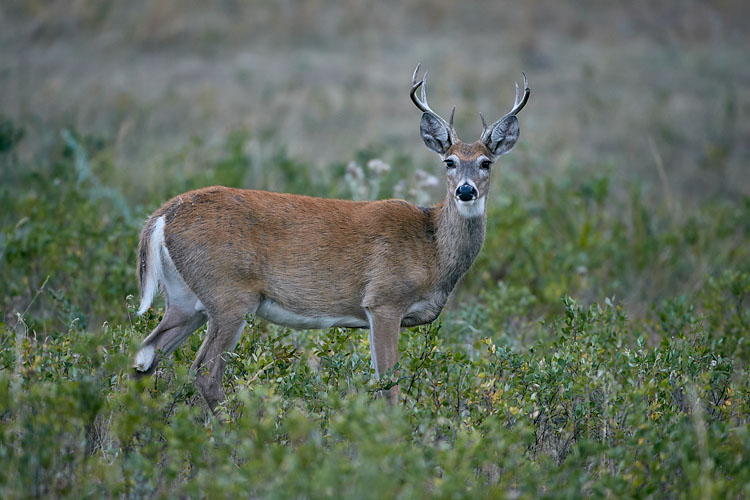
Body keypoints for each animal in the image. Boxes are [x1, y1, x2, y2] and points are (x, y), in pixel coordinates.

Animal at [133, 64, 530, 412]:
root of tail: (162, 215)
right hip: (229, 295)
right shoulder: (383, 301)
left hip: (185, 301)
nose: (466, 190)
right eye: (449, 161)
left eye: (486, 162)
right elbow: (389, 387)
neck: (431, 246)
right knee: (203, 372)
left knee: (143, 358)